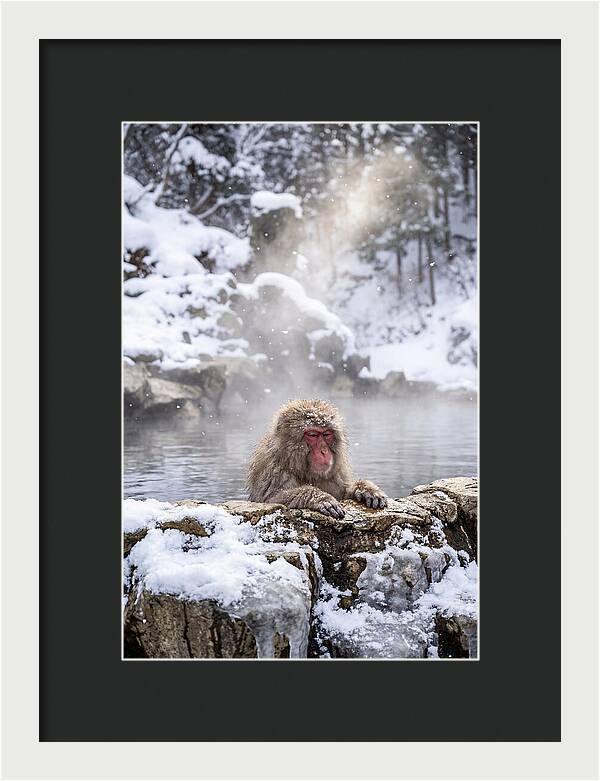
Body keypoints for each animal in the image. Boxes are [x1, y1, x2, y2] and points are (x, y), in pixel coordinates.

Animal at [247, 399, 388, 519]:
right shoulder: (273, 469)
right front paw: (320, 498)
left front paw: (365, 489)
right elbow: (271, 499)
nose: (324, 451)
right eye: (312, 435)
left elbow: (344, 493)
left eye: (327, 434)